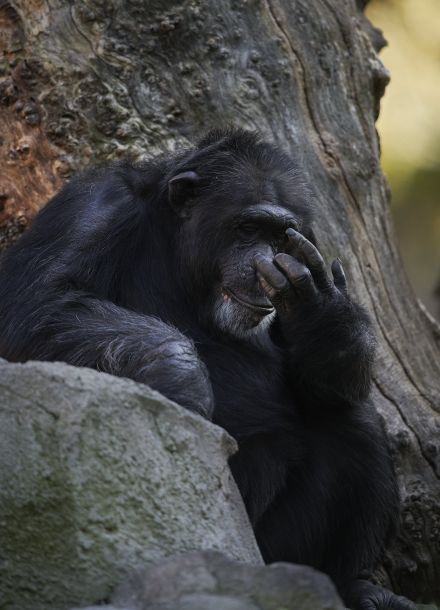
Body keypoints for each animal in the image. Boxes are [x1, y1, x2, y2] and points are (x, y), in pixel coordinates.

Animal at [0, 128, 414, 608]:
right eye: (249, 228)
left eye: (280, 237)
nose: (262, 260)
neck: (177, 253)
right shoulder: (91, 207)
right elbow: (37, 304)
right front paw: (179, 378)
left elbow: (322, 381)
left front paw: (322, 311)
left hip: (271, 550)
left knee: (350, 417)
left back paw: (352, 584)